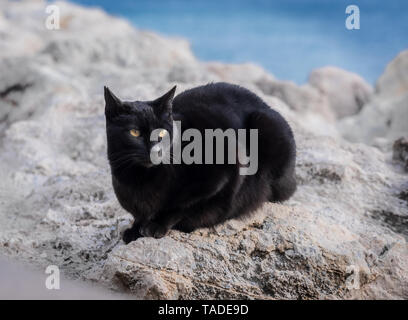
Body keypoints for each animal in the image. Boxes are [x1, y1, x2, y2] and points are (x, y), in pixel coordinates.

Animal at [105, 82, 296, 242]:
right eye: (134, 132)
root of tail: (264, 104)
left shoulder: (224, 170)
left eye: (162, 133)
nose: (156, 150)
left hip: (265, 123)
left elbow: (181, 206)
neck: (139, 178)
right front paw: (135, 228)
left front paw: (156, 224)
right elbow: (140, 215)